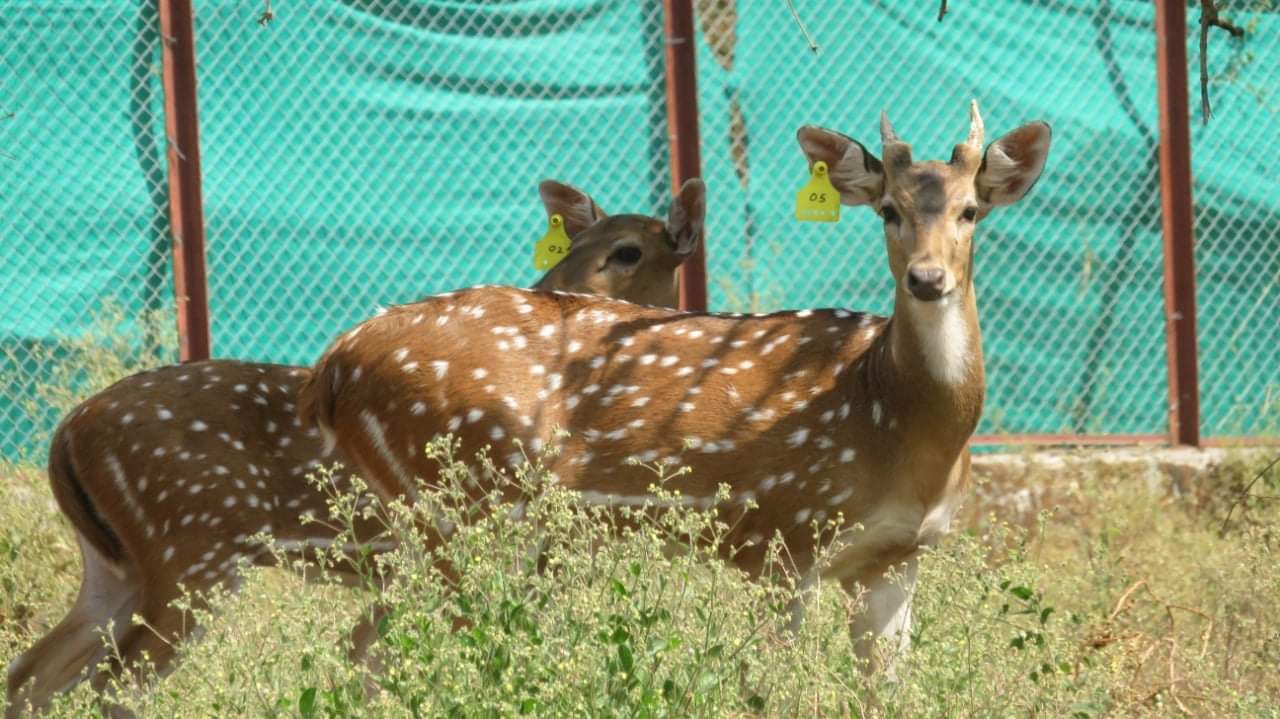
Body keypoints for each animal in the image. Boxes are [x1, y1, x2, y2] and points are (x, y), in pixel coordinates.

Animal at [5, 179, 706, 716]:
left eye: (628, 250)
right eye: (576, 243)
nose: (550, 288)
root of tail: (65, 435)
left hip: (118, 566)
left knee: (33, 672)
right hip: (190, 550)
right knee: (112, 687)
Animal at [296, 102, 1049, 670]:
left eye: (970, 211)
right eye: (888, 209)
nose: (927, 278)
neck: (892, 415)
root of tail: (332, 363)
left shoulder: (897, 557)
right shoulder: (781, 533)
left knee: (365, 641)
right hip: (465, 507)